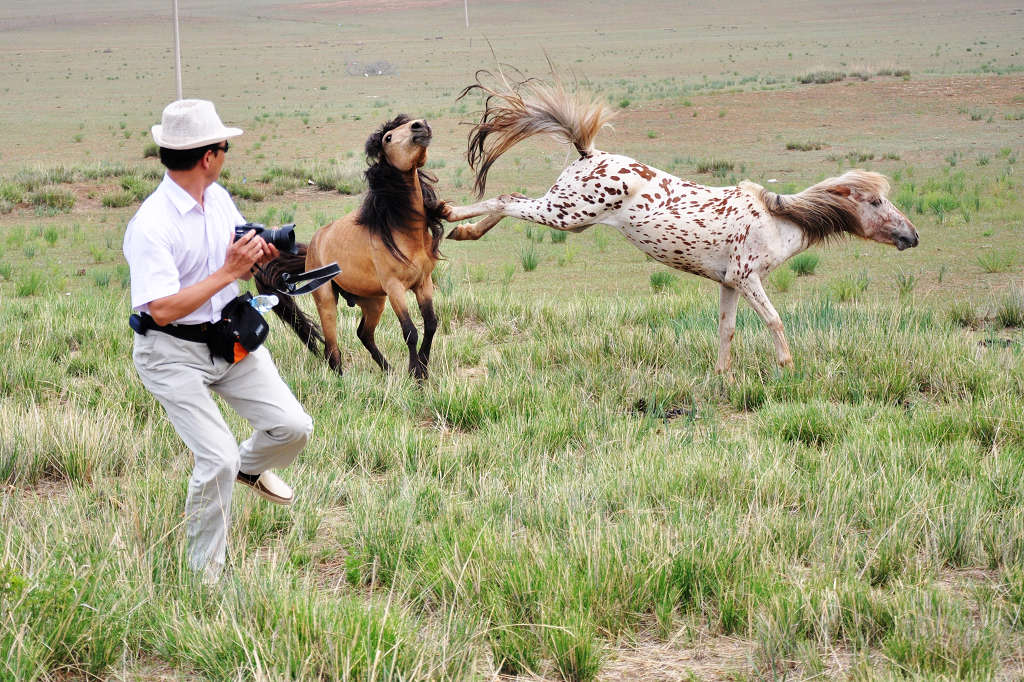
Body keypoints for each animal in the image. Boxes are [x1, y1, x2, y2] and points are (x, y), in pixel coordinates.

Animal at [256, 117, 444, 382]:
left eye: (408, 123)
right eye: (388, 138)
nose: (420, 125)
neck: (401, 231)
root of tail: (313, 246)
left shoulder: (423, 283)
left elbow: (430, 324)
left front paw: (422, 371)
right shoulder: (395, 288)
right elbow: (410, 332)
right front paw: (415, 375)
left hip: (373, 301)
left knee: (364, 334)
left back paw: (388, 371)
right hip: (327, 300)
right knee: (331, 347)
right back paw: (342, 380)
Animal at [442, 74, 921, 372]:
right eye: (877, 200)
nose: (912, 236)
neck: (777, 220)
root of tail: (589, 153)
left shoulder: (729, 283)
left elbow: (727, 331)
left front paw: (723, 377)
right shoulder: (748, 278)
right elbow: (775, 322)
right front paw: (788, 368)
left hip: (570, 217)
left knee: (512, 201)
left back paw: (460, 229)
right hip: (566, 213)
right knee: (507, 199)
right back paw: (451, 218)